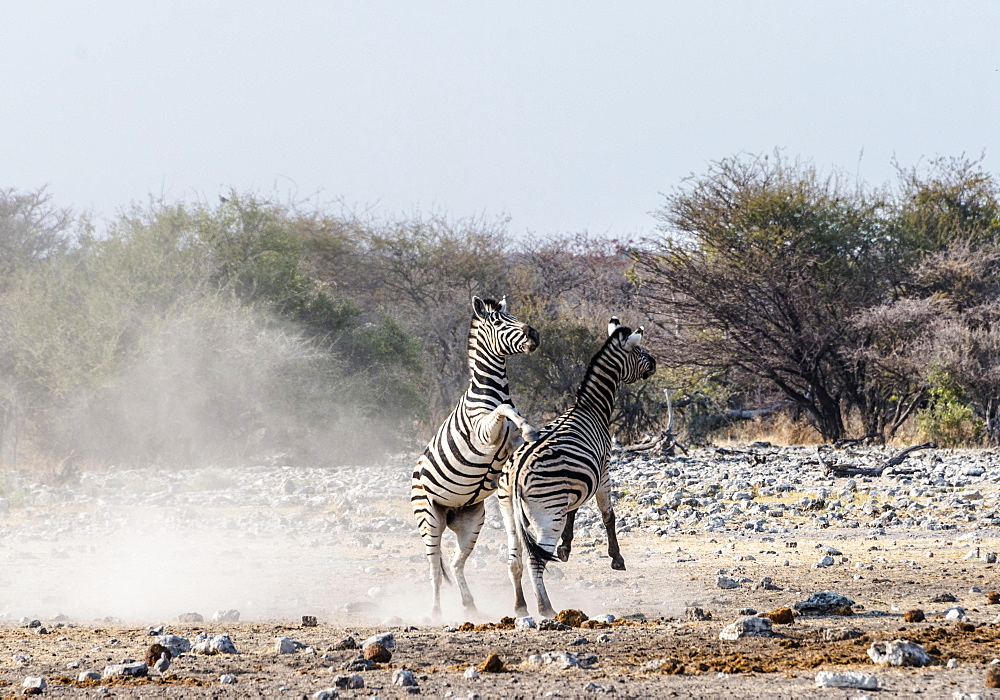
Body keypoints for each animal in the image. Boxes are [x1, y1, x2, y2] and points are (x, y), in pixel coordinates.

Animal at [410, 296, 544, 616]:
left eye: (513, 315)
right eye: (498, 321)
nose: (534, 334)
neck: (491, 390)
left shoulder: (508, 446)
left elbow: (515, 424)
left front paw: (532, 431)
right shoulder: (483, 432)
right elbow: (504, 411)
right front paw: (530, 427)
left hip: (470, 521)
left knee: (455, 562)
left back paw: (470, 605)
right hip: (429, 517)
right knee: (434, 568)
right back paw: (435, 612)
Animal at [498, 318, 656, 616]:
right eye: (639, 350)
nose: (654, 363)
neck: (591, 408)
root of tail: (515, 475)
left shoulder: (575, 482)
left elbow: (574, 510)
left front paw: (566, 547)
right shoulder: (604, 471)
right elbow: (608, 515)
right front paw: (616, 558)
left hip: (510, 515)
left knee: (514, 560)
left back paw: (520, 607)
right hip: (547, 516)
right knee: (536, 561)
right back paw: (546, 608)